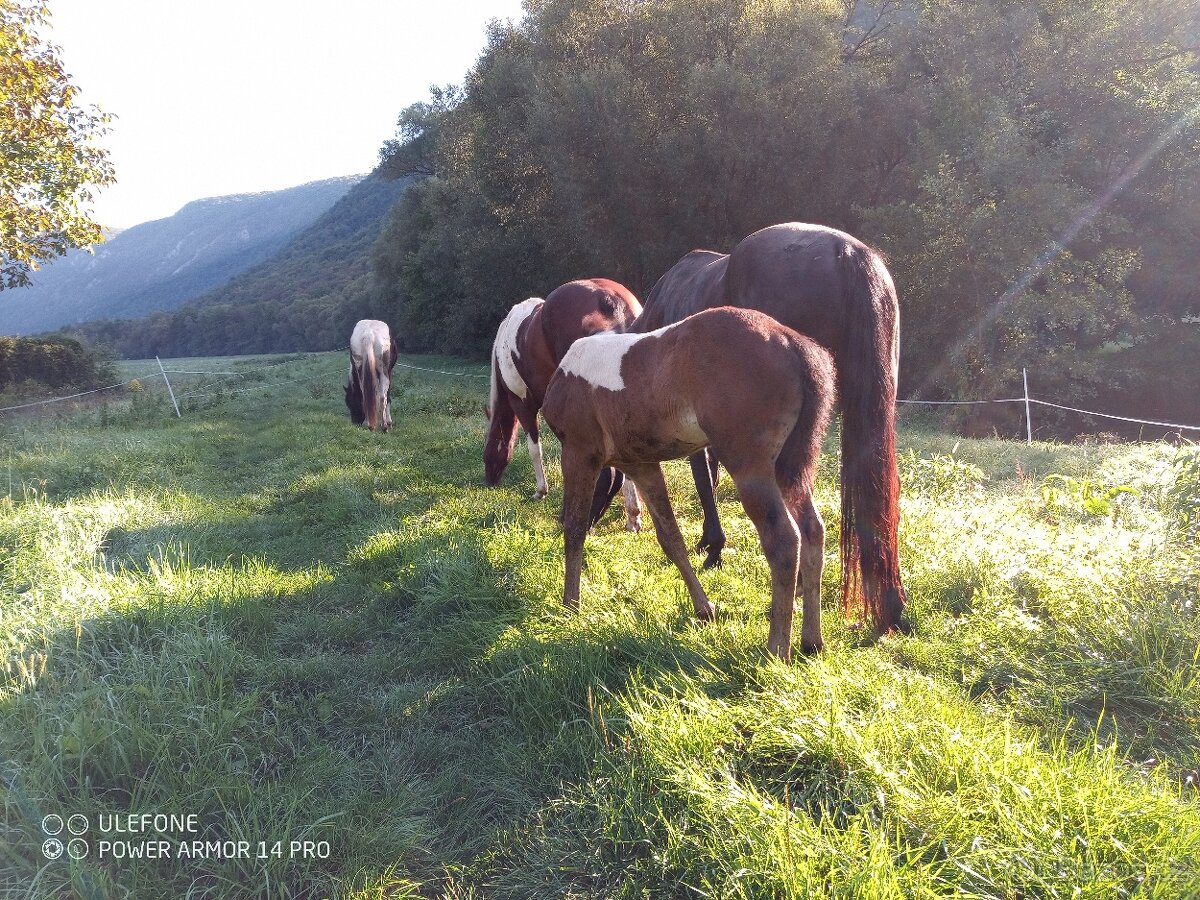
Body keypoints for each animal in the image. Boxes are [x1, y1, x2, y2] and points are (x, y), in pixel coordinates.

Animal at [485, 278, 644, 531]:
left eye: (487, 452)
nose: (488, 481)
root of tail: (608, 298)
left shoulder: (523, 404)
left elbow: (534, 448)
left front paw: (541, 491)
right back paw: (632, 515)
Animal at [543, 307, 836, 661]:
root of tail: (790, 341)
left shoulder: (579, 454)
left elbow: (574, 530)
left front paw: (570, 605)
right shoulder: (641, 465)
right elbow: (671, 538)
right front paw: (705, 609)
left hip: (750, 468)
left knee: (783, 540)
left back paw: (776, 648)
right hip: (787, 470)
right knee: (813, 530)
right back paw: (812, 641)